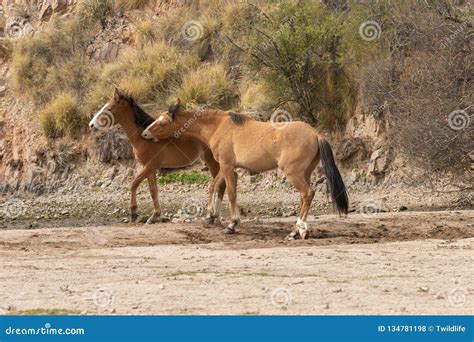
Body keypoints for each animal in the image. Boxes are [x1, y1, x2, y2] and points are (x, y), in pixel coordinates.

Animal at [90, 89, 228, 224]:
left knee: (220, 185)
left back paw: (214, 216)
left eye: (109, 109)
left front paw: (134, 213)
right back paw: (215, 217)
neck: (143, 138)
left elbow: (134, 184)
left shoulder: (150, 166)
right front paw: (154, 216)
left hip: (212, 161)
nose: (91, 125)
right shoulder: (149, 169)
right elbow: (153, 191)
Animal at [141, 100, 348, 239]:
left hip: (293, 173)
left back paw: (297, 230)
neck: (219, 126)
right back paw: (297, 231)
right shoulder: (227, 167)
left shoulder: (227, 165)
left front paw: (232, 224)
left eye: (162, 123)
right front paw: (210, 215)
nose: (144, 133)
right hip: (305, 173)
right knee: (304, 197)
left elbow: (231, 193)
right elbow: (214, 186)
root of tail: (316, 134)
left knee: (308, 193)